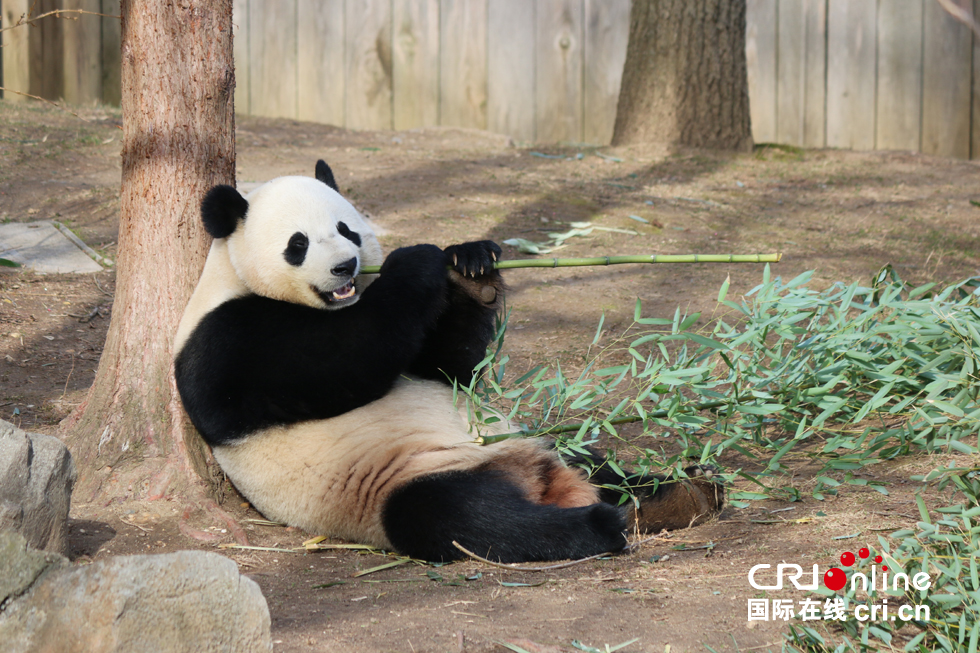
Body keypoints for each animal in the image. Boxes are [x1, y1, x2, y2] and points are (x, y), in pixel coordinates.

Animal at [174, 160, 728, 564]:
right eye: (298, 243)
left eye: (346, 229)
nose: (345, 267)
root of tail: (540, 480)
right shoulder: (227, 342)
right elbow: (347, 360)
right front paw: (417, 262)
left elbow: (446, 369)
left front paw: (470, 268)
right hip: (398, 481)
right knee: (459, 517)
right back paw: (600, 524)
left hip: (535, 441)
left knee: (599, 465)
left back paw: (688, 489)